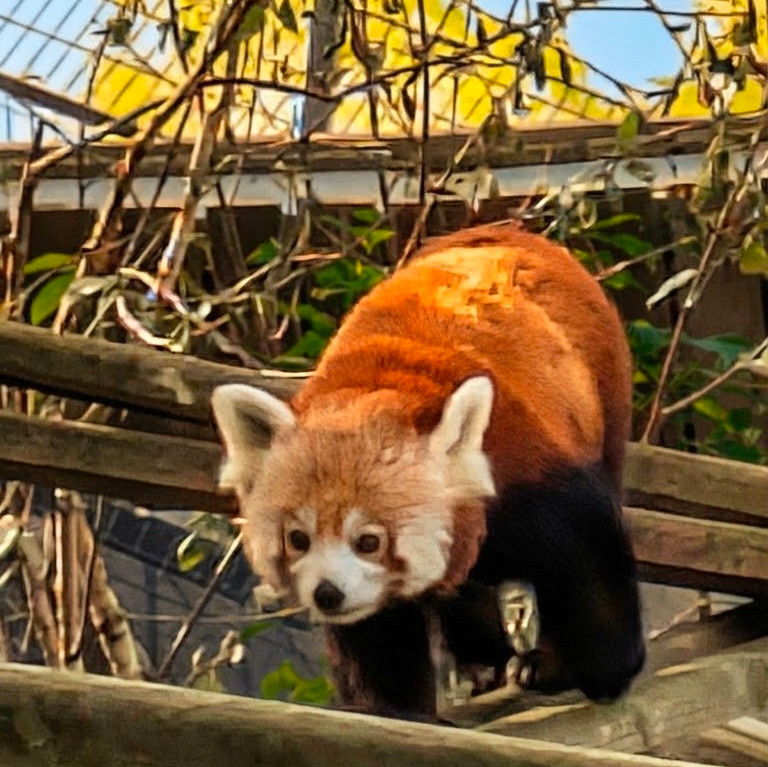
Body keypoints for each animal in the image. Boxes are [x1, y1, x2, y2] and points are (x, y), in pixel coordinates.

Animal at [211, 222, 645, 718]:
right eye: (298, 539)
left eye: (369, 541)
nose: (327, 593)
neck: (382, 385)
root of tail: (505, 230)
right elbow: (377, 633)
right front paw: (390, 708)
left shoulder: (527, 473)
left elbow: (587, 555)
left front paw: (601, 670)